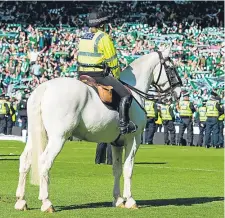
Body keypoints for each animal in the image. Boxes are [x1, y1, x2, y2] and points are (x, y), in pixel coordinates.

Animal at [14, 47, 182, 211]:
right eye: (171, 68)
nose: (179, 93)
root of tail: (45, 87)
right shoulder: (133, 140)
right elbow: (128, 169)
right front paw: (130, 200)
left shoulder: (116, 143)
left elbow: (117, 169)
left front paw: (118, 199)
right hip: (58, 138)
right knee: (44, 162)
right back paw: (46, 202)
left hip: (36, 135)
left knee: (25, 160)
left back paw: (21, 201)